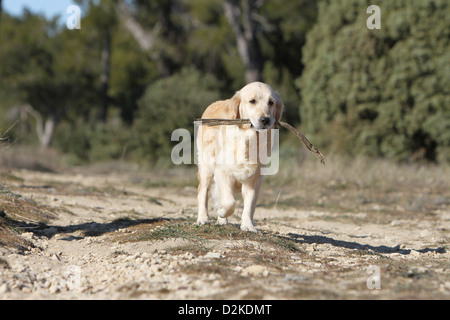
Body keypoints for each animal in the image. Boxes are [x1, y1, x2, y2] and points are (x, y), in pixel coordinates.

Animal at [195, 82, 284, 232]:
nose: (265, 120)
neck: (248, 140)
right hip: (206, 168)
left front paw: (248, 225)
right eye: (252, 101)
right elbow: (230, 202)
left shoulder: (254, 178)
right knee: (203, 192)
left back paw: (222, 222)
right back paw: (203, 218)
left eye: (271, 102)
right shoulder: (222, 171)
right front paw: (221, 211)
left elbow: (250, 205)